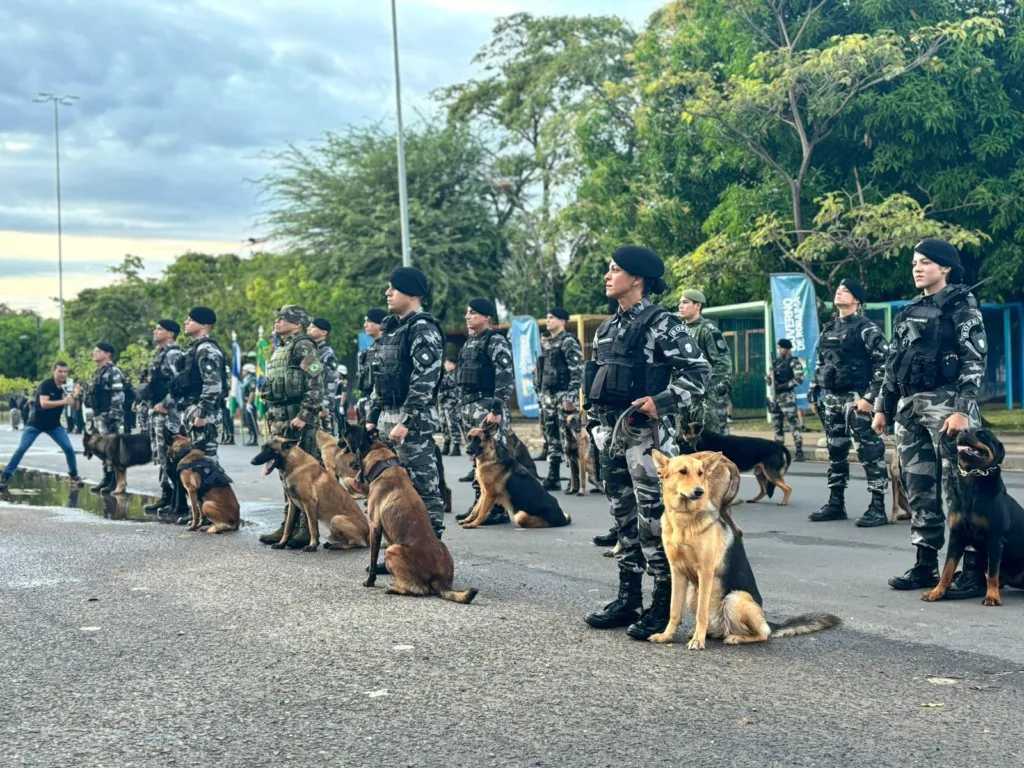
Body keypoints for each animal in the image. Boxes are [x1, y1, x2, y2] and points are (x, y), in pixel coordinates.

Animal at [339, 423, 475, 606]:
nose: (349, 463)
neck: (384, 463)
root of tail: (440, 579)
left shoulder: (375, 528)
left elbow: (373, 560)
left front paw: (370, 581)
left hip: (393, 550)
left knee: (419, 589)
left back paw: (394, 588)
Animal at [647, 450, 839, 651]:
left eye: (701, 473)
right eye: (683, 471)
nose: (700, 492)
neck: (684, 517)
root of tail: (768, 622)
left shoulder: (705, 572)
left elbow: (701, 613)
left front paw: (698, 641)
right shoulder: (677, 573)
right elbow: (674, 610)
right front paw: (666, 636)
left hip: (735, 598)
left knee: (762, 634)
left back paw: (734, 637)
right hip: (694, 592)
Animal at [921, 428, 1024, 606]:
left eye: (982, 434)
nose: (963, 430)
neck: (972, 482)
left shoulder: (995, 539)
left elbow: (993, 572)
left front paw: (992, 596)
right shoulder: (956, 537)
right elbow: (947, 569)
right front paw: (937, 591)